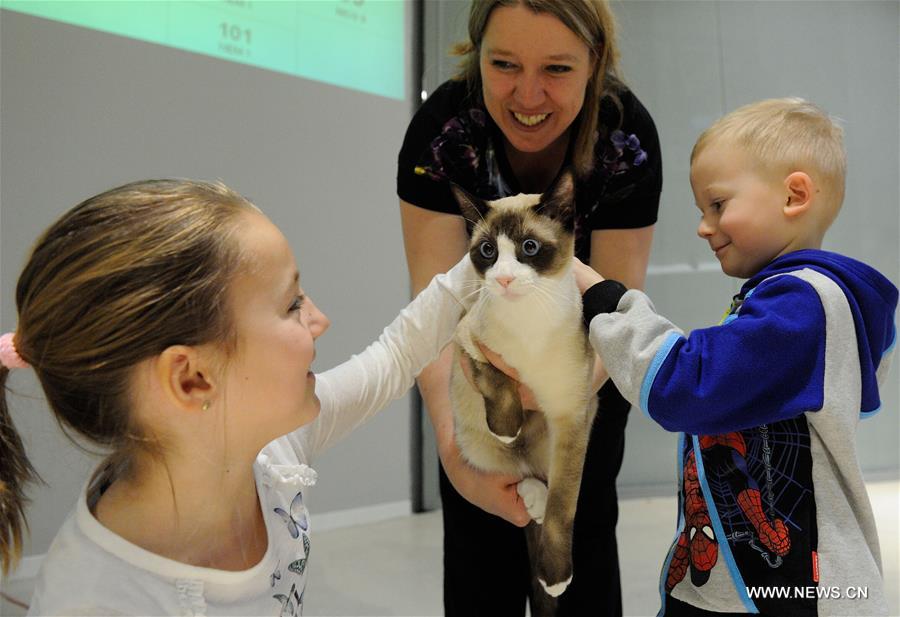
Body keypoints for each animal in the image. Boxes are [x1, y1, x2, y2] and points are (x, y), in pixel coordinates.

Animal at [450, 168, 596, 600]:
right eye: (487, 252)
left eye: (529, 247)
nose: (504, 279)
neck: (530, 321)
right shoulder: (467, 342)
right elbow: (499, 381)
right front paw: (508, 426)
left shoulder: (572, 417)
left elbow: (563, 510)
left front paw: (556, 577)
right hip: (474, 443)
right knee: (516, 470)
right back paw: (530, 493)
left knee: (545, 487)